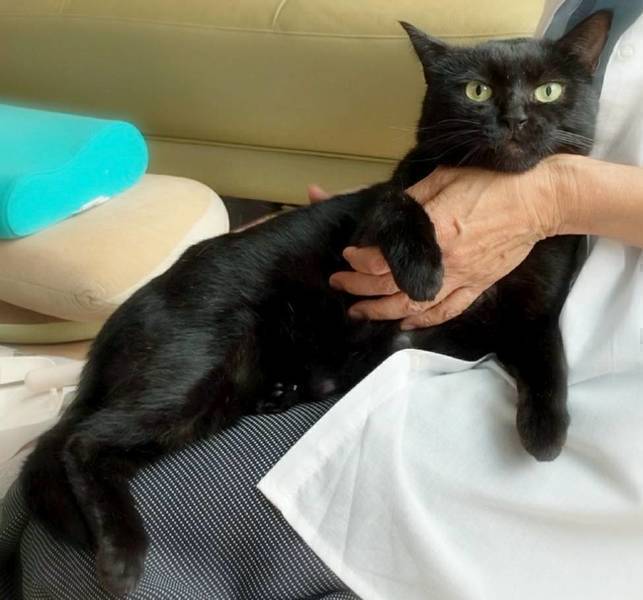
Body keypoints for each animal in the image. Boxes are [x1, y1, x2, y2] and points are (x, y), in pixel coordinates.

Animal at [20, 10, 612, 596]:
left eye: (548, 90)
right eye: (477, 91)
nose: (515, 118)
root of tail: (120, 319)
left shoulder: (532, 317)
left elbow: (550, 362)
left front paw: (546, 432)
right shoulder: (367, 235)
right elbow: (398, 202)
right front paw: (424, 273)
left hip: (209, 400)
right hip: (192, 373)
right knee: (78, 442)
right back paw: (121, 556)